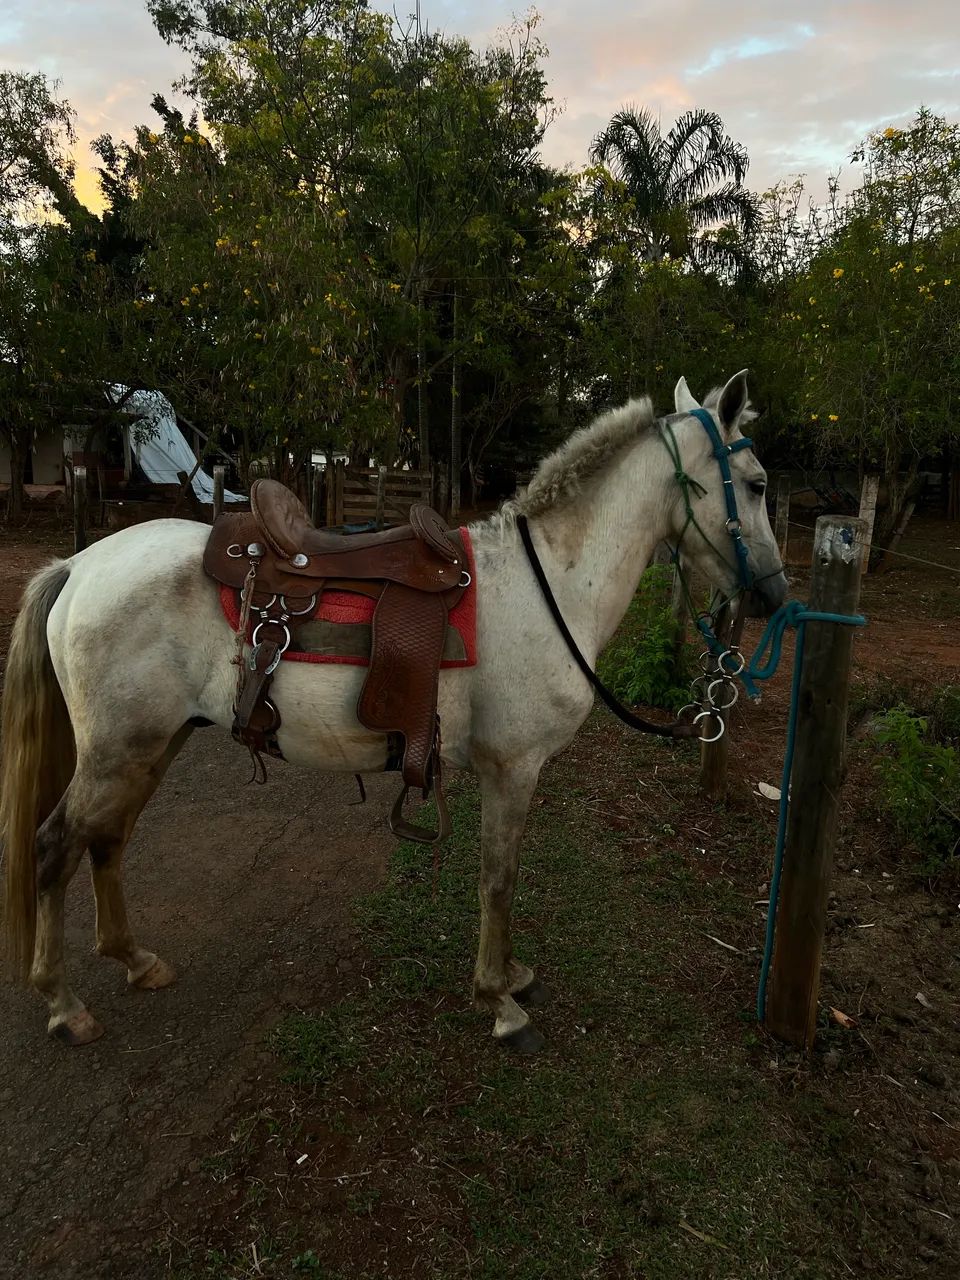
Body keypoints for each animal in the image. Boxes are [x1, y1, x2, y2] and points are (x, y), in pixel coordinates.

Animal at [1, 369, 786, 1052]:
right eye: (755, 484)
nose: (775, 596)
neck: (551, 587)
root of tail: (80, 565)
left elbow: (503, 877)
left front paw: (511, 978)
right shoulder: (512, 769)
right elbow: (498, 880)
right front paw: (499, 1001)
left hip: (152, 746)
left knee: (106, 840)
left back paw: (135, 959)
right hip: (118, 752)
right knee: (53, 846)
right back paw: (65, 1005)